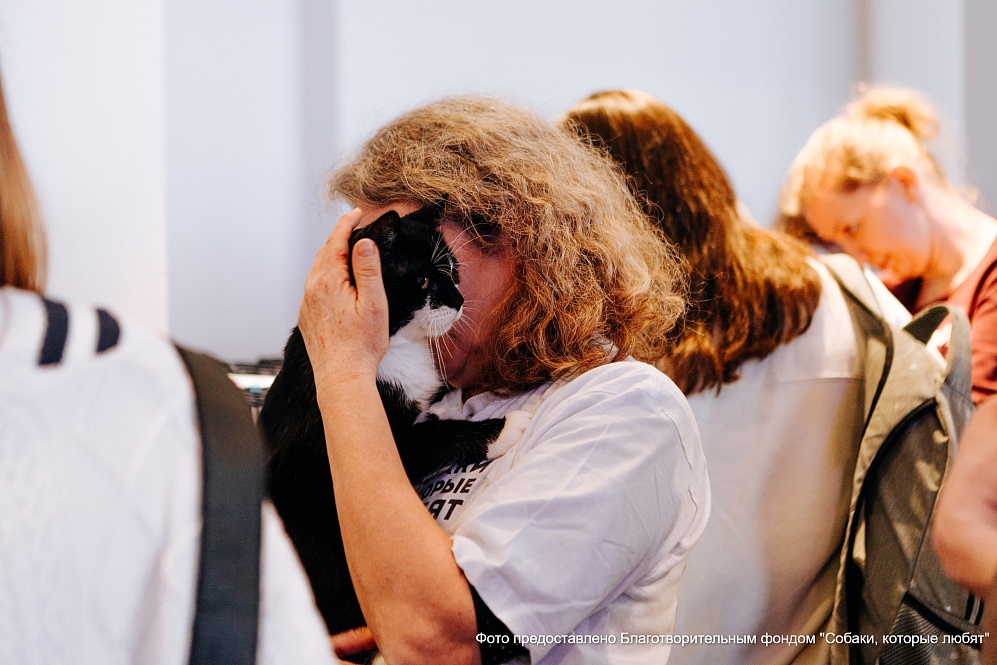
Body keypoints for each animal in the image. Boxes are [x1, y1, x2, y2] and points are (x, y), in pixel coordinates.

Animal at [259, 204, 506, 650]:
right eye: (423, 280)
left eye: (453, 270)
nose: (460, 301)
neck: (397, 348)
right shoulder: (390, 443)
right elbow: (436, 435)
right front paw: (507, 426)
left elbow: (433, 412)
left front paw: (451, 402)